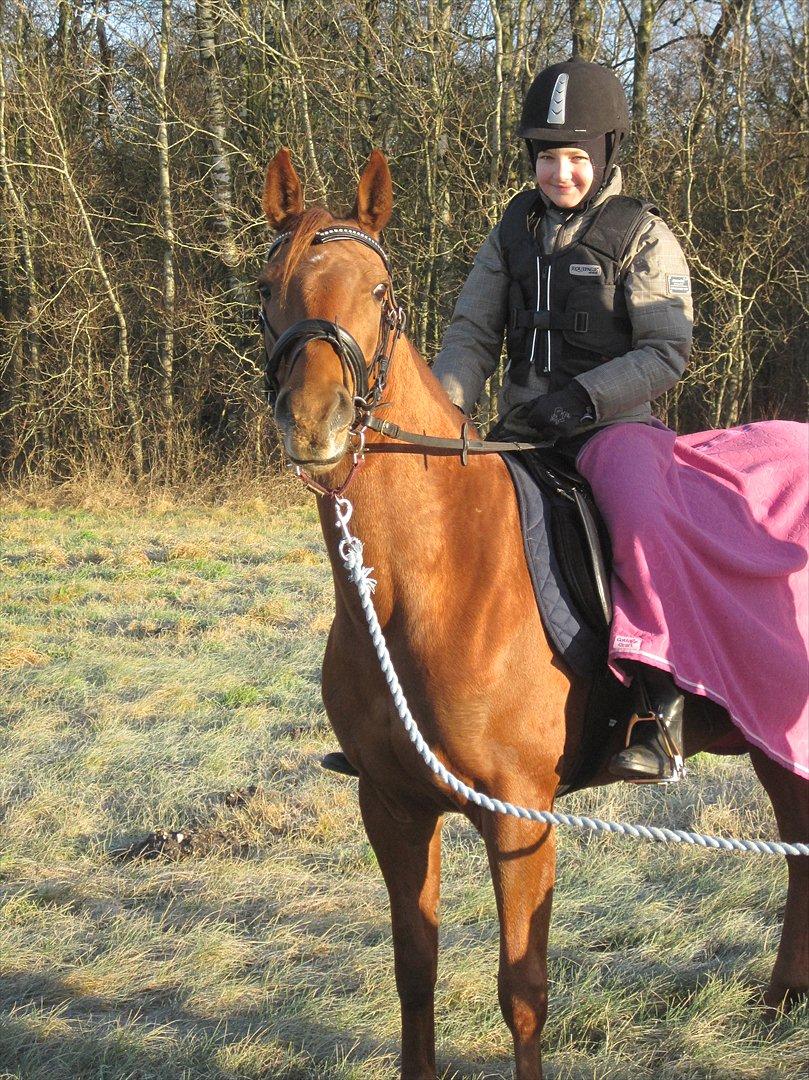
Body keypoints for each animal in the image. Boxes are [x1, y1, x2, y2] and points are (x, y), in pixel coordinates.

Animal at [260, 150, 807, 1080]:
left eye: (380, 289)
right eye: (267, 288)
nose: (315, 425)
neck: (432, 579)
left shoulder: (519, 817)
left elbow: (522, 989)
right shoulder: (393, 806)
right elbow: (414, 971)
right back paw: (777, 1008)